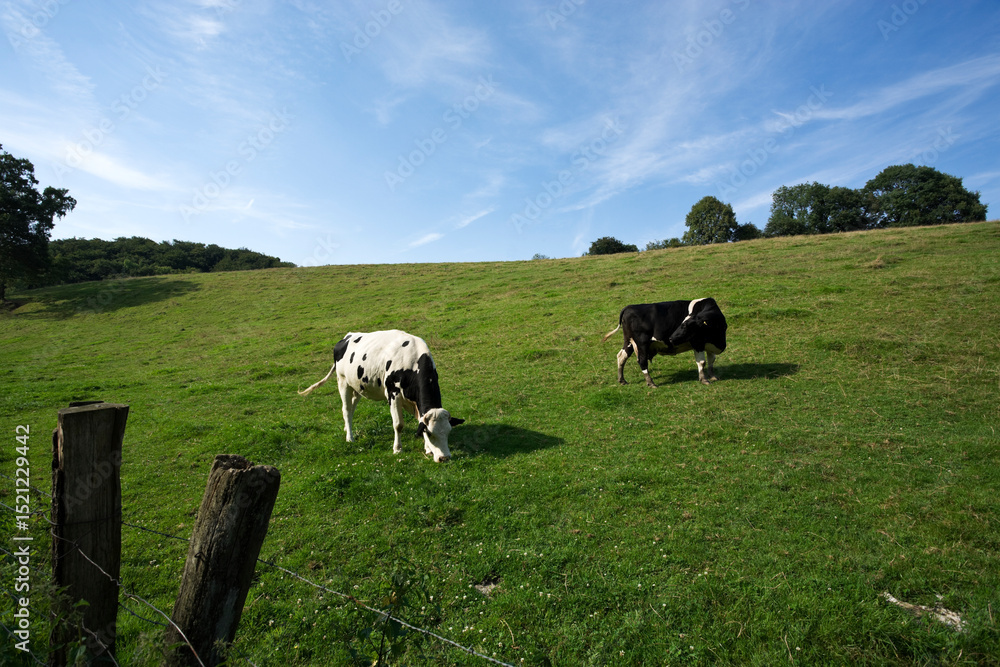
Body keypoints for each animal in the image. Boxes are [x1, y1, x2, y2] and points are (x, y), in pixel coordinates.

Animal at [298, 330, 463, 462]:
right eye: (430, 433)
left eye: (449, 431)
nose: (444, 458)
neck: (412, 361)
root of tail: (347, 336)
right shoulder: (393, 393)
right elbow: (398, 424)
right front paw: (397, 449)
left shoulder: (415, 401)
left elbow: (420, 420)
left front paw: (427, 449)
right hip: (343, 381)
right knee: (346, 409)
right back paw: (350, 438)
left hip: (357, 386)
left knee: (351, 409)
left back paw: (346, 428)